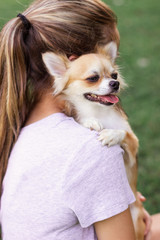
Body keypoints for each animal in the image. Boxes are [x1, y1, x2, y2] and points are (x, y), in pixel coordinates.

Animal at [42, 42, 146, 239]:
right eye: (92, 78)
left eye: (114, 75)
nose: (115, 83)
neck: (99, 111)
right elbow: (83, 119)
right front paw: (89, 122)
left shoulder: (132, 149)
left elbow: (124, 133)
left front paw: (111, 134)